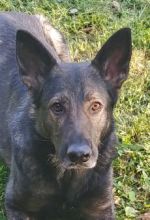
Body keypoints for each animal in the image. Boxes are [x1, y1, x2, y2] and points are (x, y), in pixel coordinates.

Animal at [0, 12, 131, 220]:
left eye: (96, 106)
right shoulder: (16, 205)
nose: (79, 156)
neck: (68, 177)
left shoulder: (101, 208)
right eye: (57, 107)